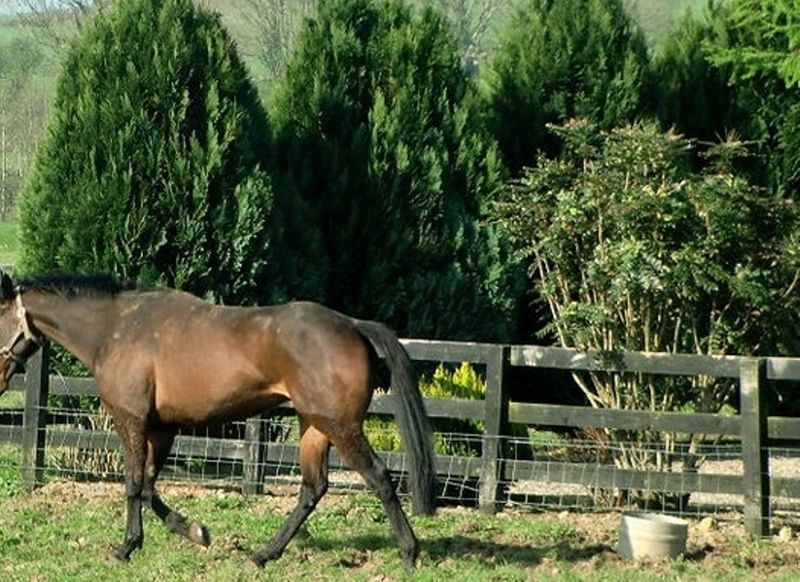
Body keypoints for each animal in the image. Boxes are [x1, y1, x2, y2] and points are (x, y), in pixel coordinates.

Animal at [0, 274, 434, 572]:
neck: (115, 328)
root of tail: (354, 325)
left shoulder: (131, 420)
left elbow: (134, 484)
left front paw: (126, 547)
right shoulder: (162, 427)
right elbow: (150, 486)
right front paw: (194, 531)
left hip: (340, 425)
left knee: (378, 476)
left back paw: (409, 553)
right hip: (314, 427)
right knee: (313, 489)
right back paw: (264, 554)